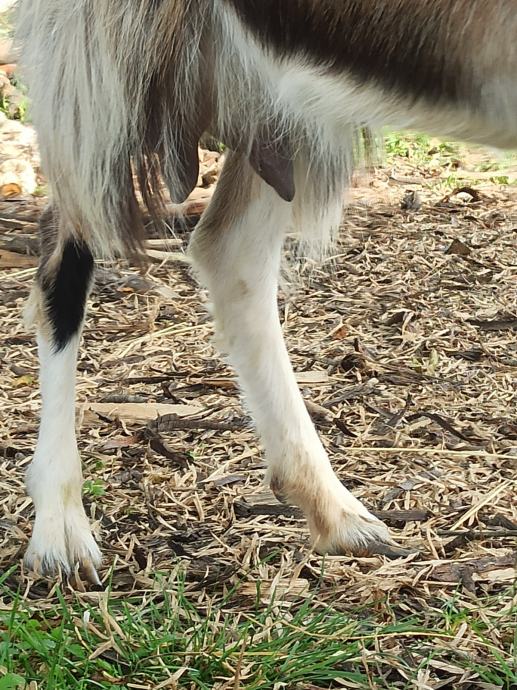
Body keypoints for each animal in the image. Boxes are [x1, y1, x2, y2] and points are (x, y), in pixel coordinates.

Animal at [16, 0, 517, 582]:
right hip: (97, 56)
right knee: (67, 257)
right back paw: (61, 528)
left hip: (270, 97)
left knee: (229, 248)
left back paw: (335, 511)